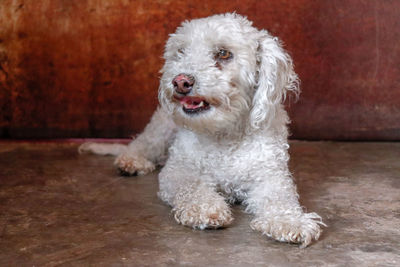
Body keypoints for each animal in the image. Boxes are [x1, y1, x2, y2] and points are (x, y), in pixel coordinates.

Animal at [80, 13, 324, 248]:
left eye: (223, 53)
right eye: (181, 51)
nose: (180, 81)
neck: (224, 134)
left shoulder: (271, 176)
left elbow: (280, 198)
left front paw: (290, 221)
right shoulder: (177, 171)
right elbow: (192, 186)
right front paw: (206, 209)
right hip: (161, 130)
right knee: (140, 144)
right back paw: (131, 162)